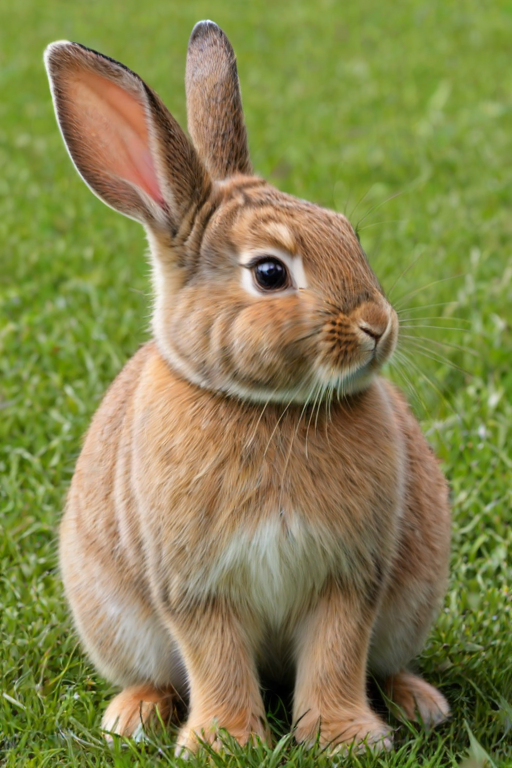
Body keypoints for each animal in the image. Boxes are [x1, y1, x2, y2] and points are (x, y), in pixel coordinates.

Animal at [44, 20, 451, 755]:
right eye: (269, 273)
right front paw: (225, 741)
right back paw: (133, 716)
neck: (269, 408)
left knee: (384, 663)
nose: (378, 326)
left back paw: (419, 702)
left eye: (349, 234)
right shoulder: (196, 587)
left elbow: (336, 653)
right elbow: (217, 659)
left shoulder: (349, 579)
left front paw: (344, 738)